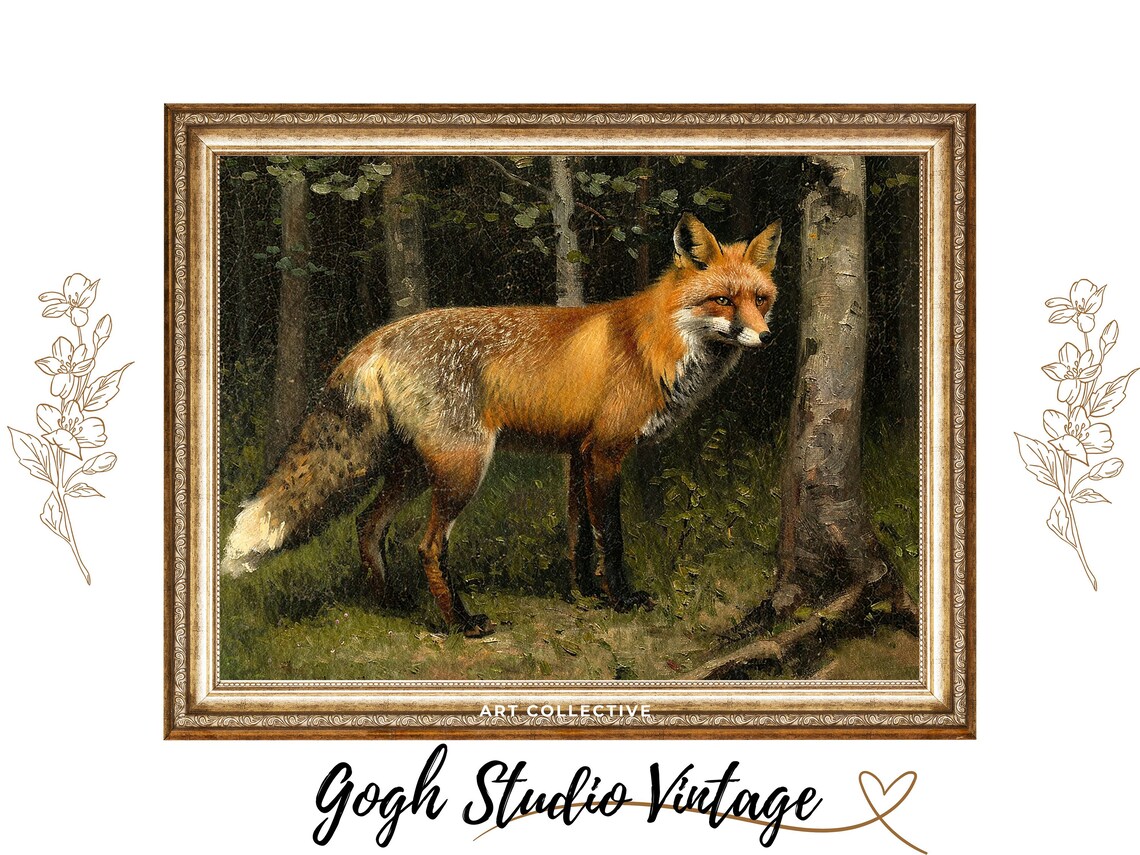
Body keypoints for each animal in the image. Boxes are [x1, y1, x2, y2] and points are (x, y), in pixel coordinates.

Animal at [222, 213, 780, 637]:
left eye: (761, 299)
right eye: (722, 300)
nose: (767, 337)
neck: (654, 343)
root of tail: (380, 336)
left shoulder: (577, 452)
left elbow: (579, 536)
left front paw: (583, 593)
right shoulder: (605, 451)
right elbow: (612, 537)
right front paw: (620, 599)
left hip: (414, 469)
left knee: (367, 524)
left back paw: (389, 604)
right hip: (463, 467)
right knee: (427, 546)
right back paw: (460, 624)